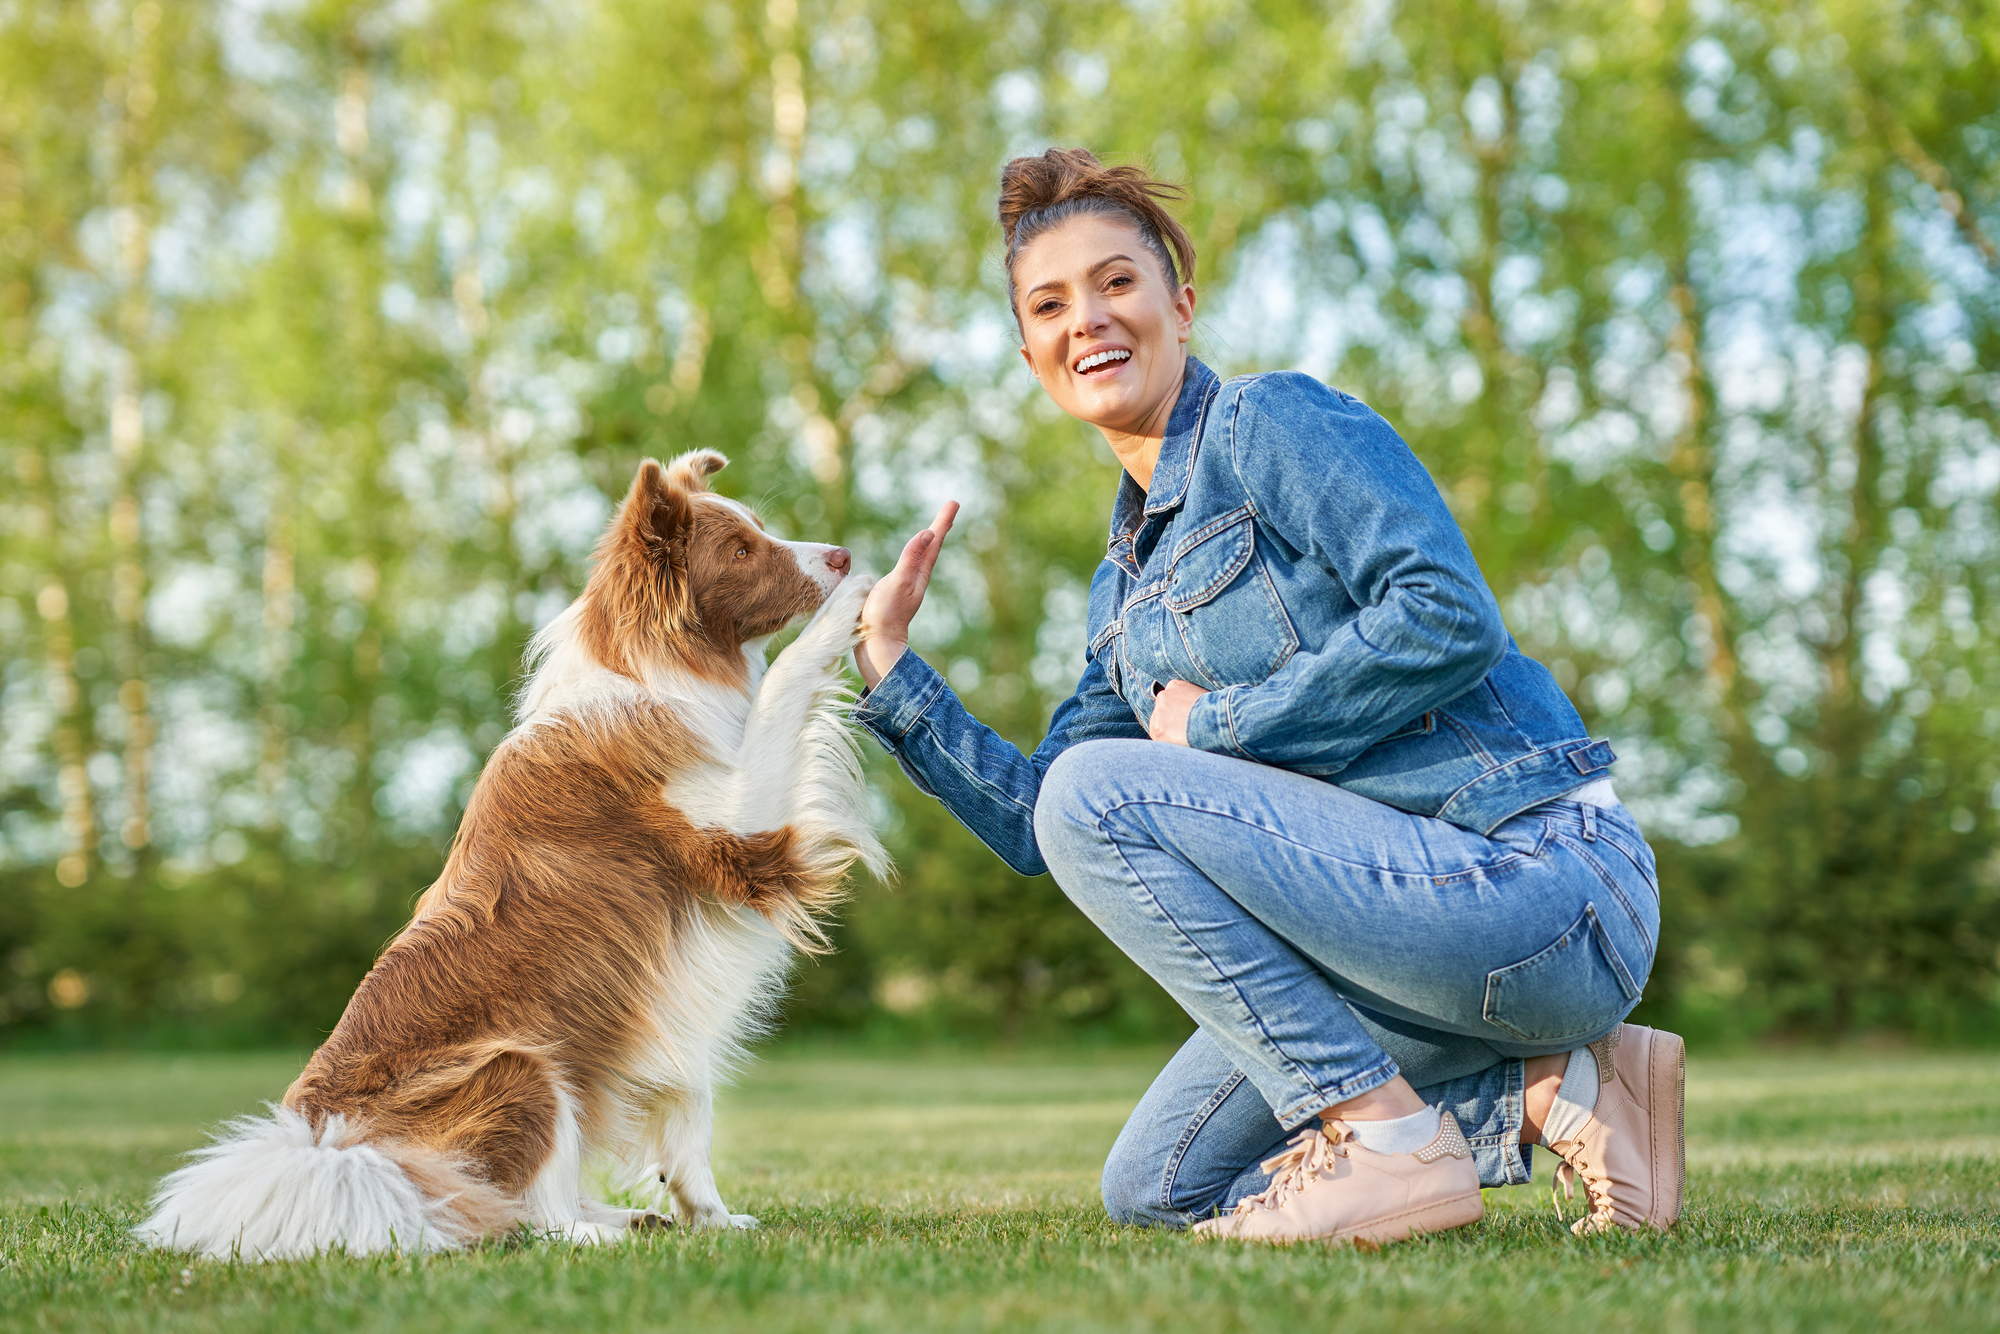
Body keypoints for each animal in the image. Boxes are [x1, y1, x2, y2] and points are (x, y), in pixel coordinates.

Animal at [137, 454, 888, 1256]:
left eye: (760, 528)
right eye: (743, 549)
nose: (841, 557)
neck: (652, 673)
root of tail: (329, 1150)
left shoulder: (682, 985)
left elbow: (690, 1113)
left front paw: (711, 1218)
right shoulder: (740, 834)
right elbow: (782, 686)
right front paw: (854, 604)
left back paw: (633, 1217)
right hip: (522, 1066)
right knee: (525, 1220)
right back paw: (600, 1235)